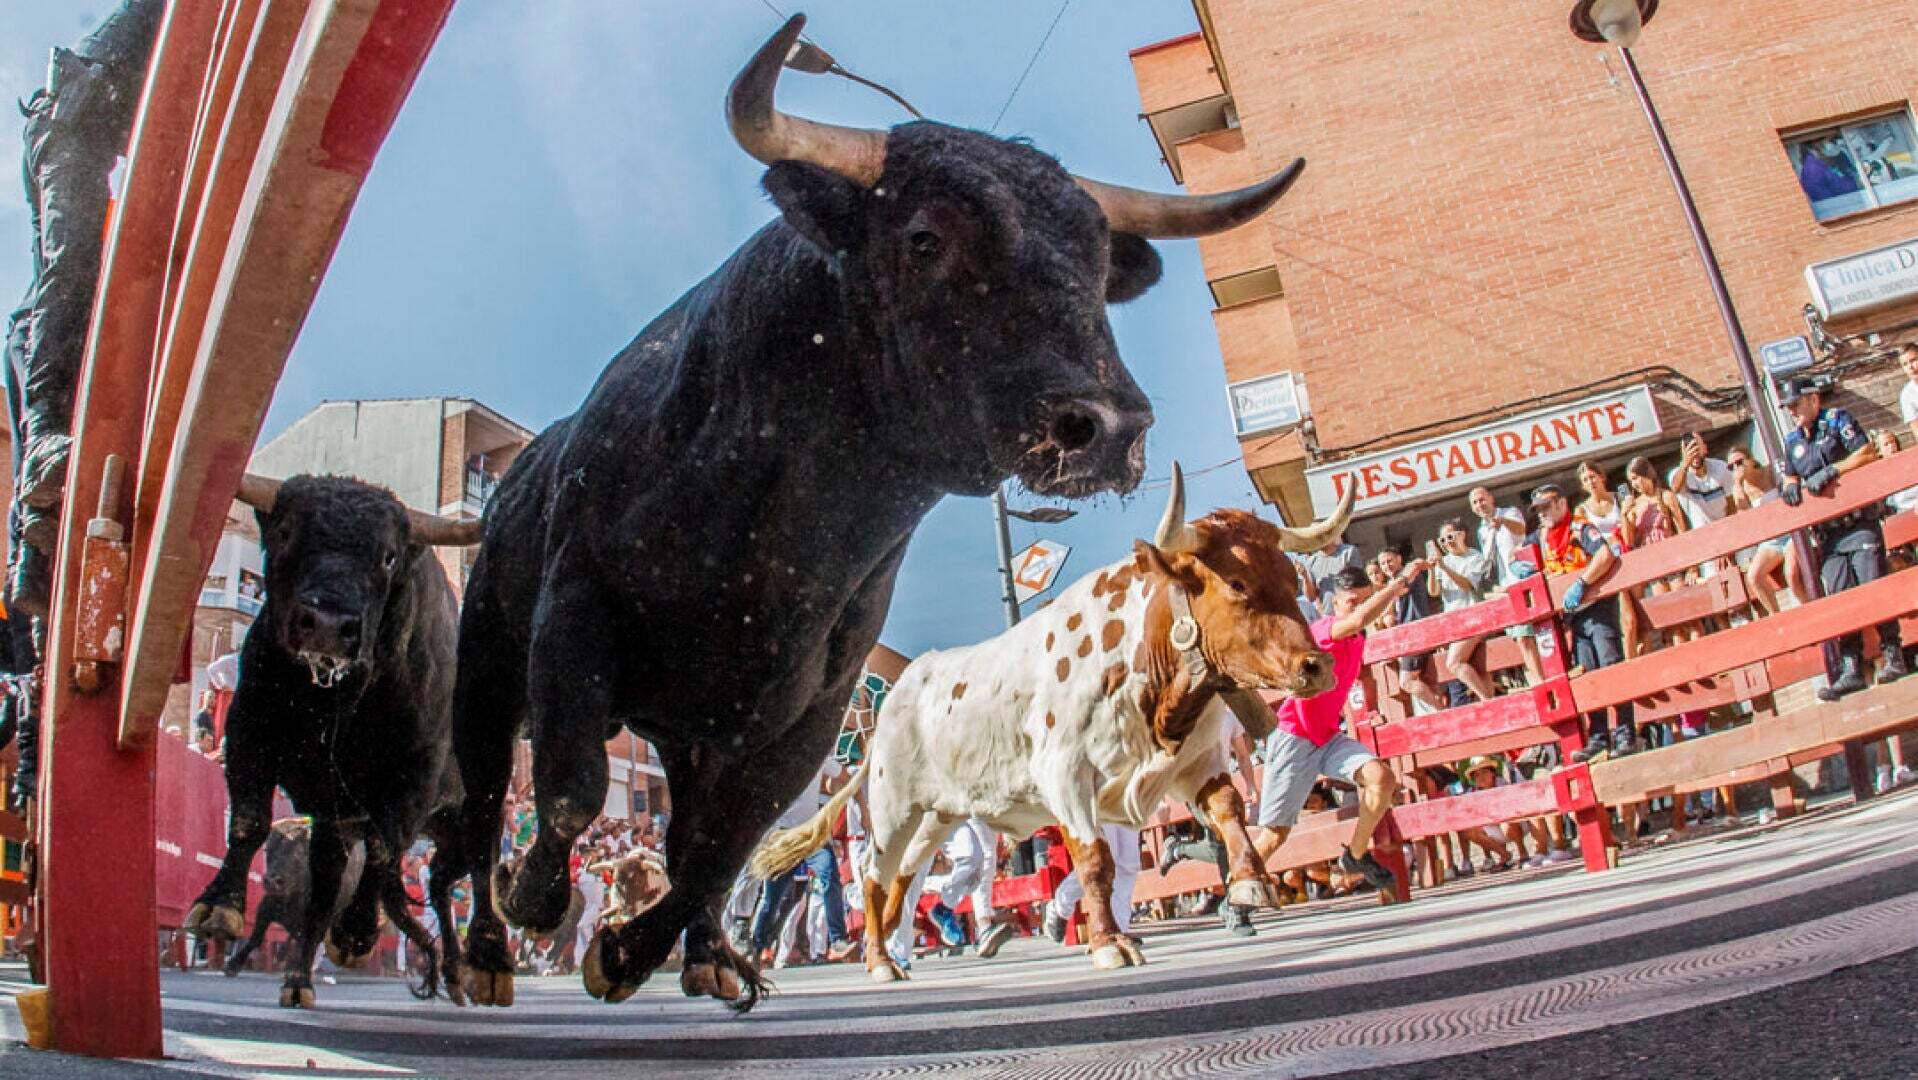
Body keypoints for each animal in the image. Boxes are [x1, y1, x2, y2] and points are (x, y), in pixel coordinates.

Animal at [182, 477, 475, 1012]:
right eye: (284, 533)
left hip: (467, 823)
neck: (332, 702)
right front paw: (216, 908)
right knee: (400, 888)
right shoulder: (250, 731)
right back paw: (303, 979)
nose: (327, 623)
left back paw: (471, 971)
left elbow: (380, 851)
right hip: (339, 827)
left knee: (457, 884)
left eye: (388, 556)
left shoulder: (412, 776)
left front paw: (356, 932)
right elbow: (250, 821)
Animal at [435, 16, 1304, 1012]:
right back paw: (488, 946)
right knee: (478, 807)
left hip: (698, 740)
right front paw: (537, 899)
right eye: (924, 238)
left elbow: (720, 853)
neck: (779, 535)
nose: (1112, 425)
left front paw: (626, 951)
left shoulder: (805, 718)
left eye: (1093, 263)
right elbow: (573, 789)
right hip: (487, 671)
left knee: (693, 841)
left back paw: (706, 953)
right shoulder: (573, 619)